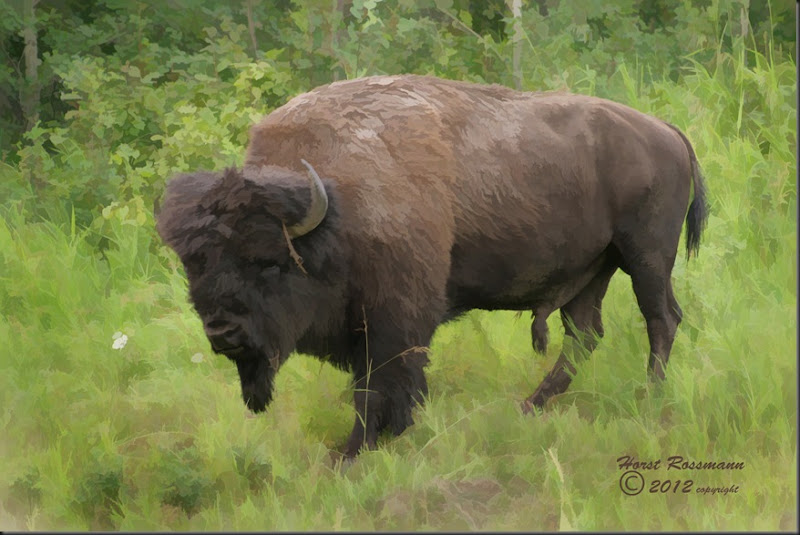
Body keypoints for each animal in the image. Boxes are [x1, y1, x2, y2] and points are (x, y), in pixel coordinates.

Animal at [156, 73, 708, 458]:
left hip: (645, 256)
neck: (337, 207)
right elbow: (373, 385)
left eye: (268, 262)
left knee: (661, 318)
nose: (222, 332)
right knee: (585, 334)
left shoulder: (395, 318)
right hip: (591, 273)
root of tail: (668, 132)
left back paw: (648, 397)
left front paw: (355, 452)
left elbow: (379, 387)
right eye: (195, 265)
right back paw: (529, 407)